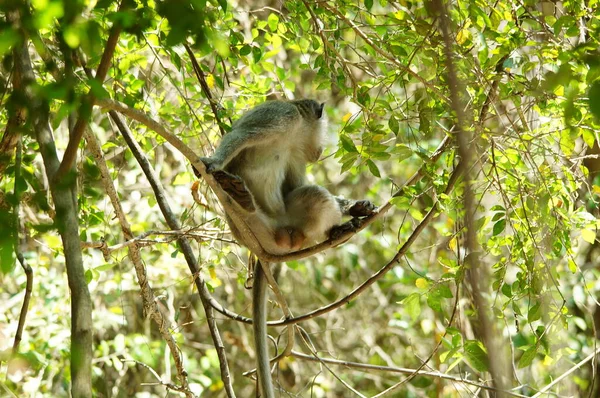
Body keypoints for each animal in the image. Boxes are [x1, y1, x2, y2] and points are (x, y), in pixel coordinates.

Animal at [199, 98, 372, 394]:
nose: (320, 151)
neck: (295, 132)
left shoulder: (296, 153)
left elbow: (293, 185)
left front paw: (355, 206)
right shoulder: (281, 115)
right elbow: (241, 135)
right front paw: (213, 161)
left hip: (292, 225)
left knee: (310, 199)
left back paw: (336, 231)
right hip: (250, 225)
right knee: (315, 195)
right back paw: (241, 199)